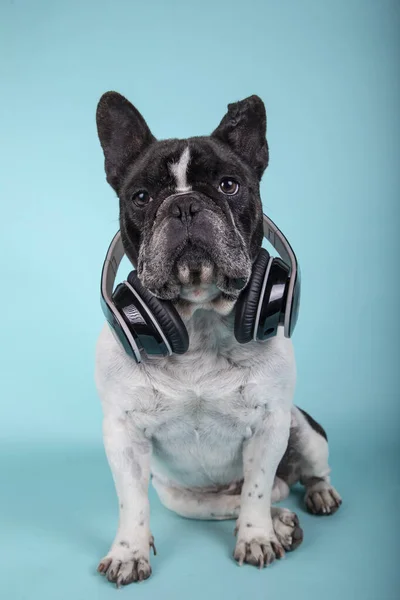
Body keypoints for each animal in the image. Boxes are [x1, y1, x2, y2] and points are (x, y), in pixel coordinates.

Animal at [93, 94, 340, 584]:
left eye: (229, 186)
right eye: (141, 197)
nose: (185, 205)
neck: (200, 321)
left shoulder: (270, 423)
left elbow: (258, 489)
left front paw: (258, 536)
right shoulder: (122, 435)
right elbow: (131, 501)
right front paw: (129, 551)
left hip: (303, 431)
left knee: (292, 479)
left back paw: (313, 499)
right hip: (180, 497)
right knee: (240, 498)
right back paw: (284, 521)